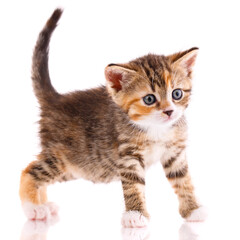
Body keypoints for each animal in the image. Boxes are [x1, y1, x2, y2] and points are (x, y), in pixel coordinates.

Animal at [19, 8, 206, 227]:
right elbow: (133, 184)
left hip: (78, 167)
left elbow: (183, 180)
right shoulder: (128, 156)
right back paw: (34, 208)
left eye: (176, 94)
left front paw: (192, 209)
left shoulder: (175, 153)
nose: (169, 111)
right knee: (30, 171)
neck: (156, 128)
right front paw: (135, 215)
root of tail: (56, 99)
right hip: (64, 158)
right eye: (149, 99)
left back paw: (44, 205)